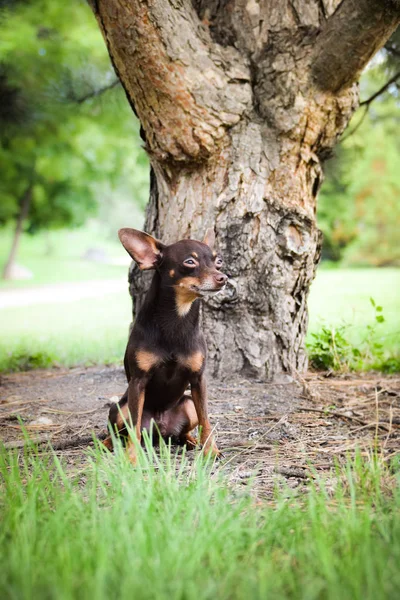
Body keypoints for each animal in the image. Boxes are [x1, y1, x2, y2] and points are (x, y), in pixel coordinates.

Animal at [103, 226, 227, 464]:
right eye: (190, 262)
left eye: (218, 262)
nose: (223, 278)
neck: (176, 319)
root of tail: (160, 430)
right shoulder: (139, 381)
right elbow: (134, 425)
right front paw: (132, 458)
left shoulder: (198, 380)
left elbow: (206, 420)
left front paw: (211, 450)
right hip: (120, 408)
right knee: (121, 431)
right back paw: (106, 443)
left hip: (188, 403)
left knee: (184, 431)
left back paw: (190, 440)